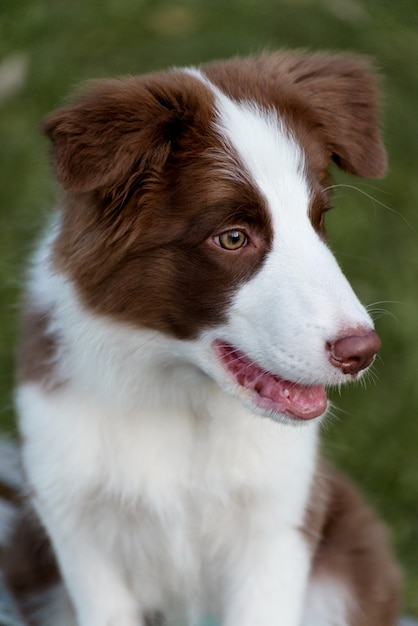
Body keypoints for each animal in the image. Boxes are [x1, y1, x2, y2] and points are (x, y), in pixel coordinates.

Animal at [11, 52, 400, 624]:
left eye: (318, 219)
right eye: (233, 238)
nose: (362, 352)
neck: (179, 398)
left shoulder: (279, 522)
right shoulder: (75, 523)